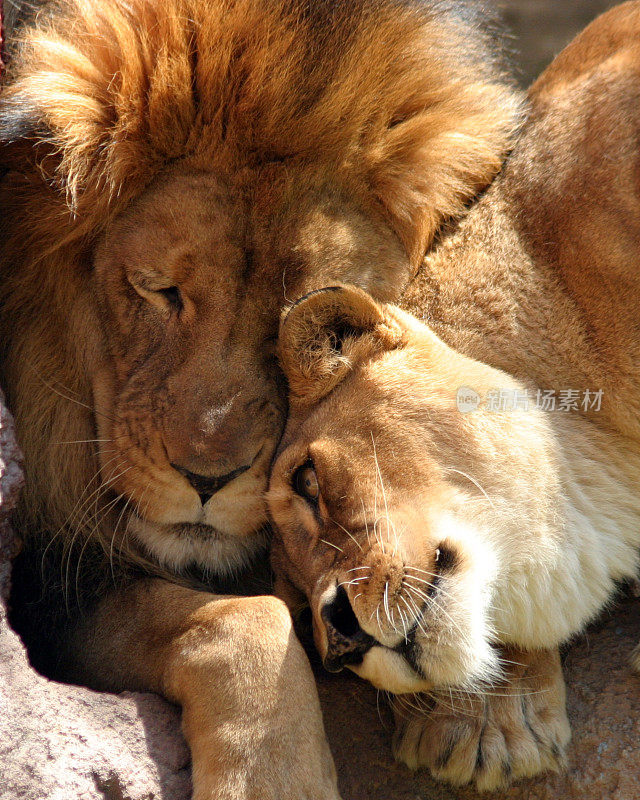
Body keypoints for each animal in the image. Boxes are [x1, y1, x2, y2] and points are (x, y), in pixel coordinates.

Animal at [0, 0, 520, 792]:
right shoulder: (51, 576)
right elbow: (243, 619)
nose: (207, 480)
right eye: (158, 288)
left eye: (308, 321)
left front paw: (489, 709)